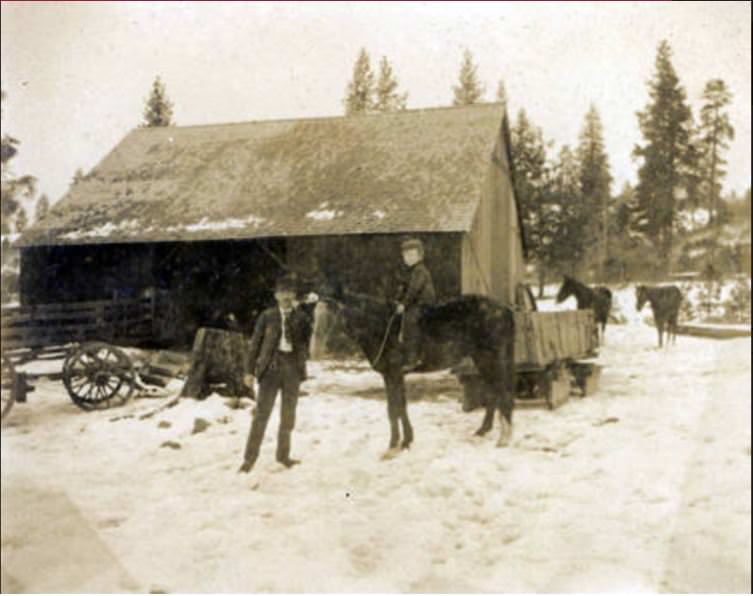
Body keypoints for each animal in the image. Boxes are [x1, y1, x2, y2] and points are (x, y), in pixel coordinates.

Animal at [316, 282, 516, 454]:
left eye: (334, 311)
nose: (322, 347)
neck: (383, 327)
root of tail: (505, 309)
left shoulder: (395, 374)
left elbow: (396, 408)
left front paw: (398, 443)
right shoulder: (390, 376)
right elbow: (396, 407)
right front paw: (401, 442)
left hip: (490, 358)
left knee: (502, 392)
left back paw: (504, 438)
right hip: (482, 360)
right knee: (493, 393)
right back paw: (484, 430)